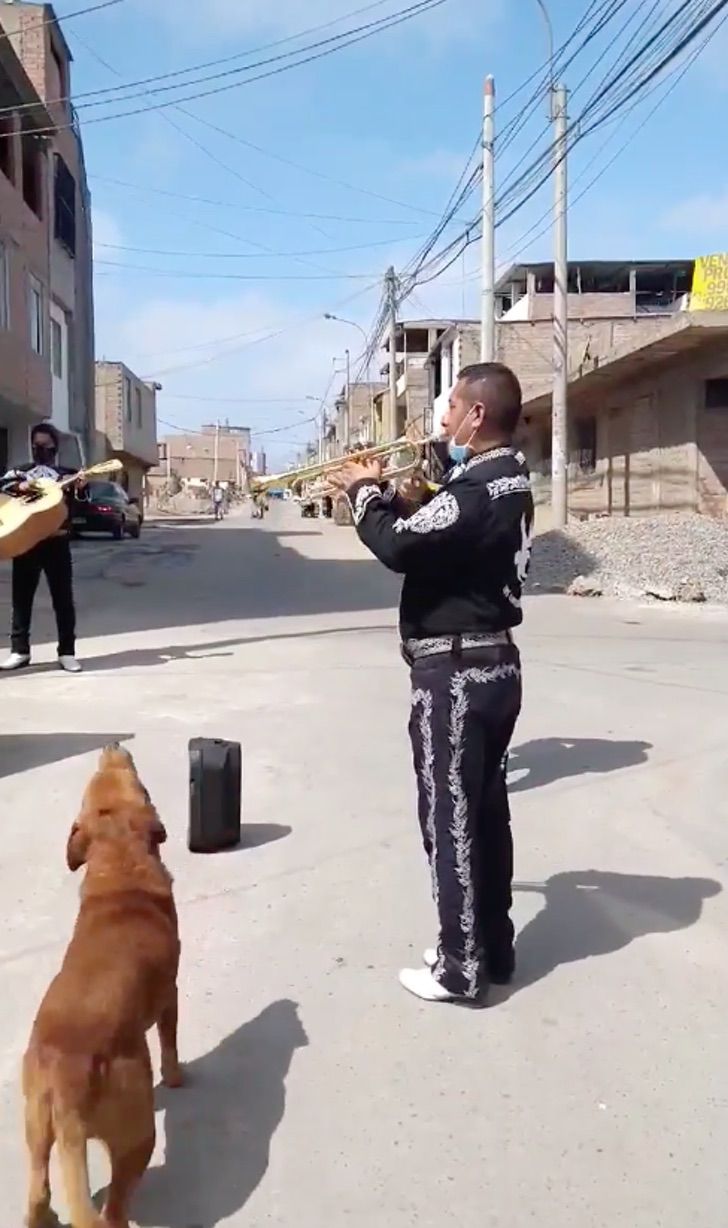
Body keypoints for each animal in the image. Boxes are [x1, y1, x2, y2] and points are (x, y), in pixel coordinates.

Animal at [23, 746, 182, 1228]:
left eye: (99, 780)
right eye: (140, 783)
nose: (114, 746)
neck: (119, 860)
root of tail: (67, 1080)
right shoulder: (170, 995)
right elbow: (170, 1044)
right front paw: (177, 1078)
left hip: (35, 1124)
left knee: (37, 1192)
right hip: (137, 1136)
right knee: (113, 1211)